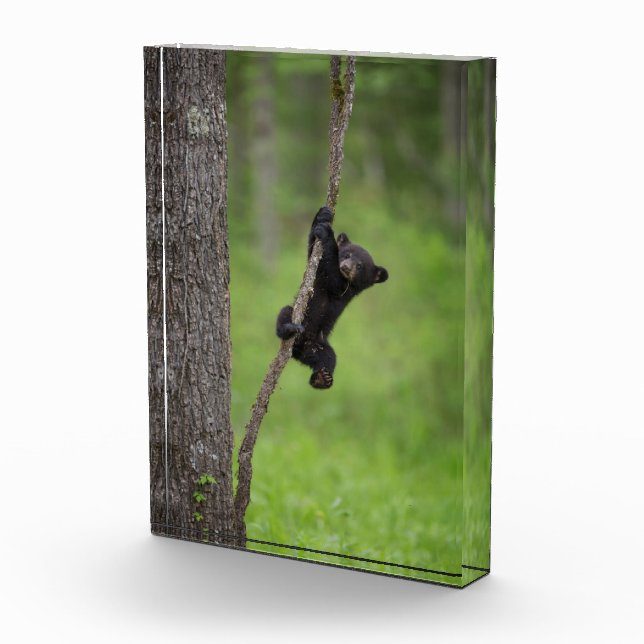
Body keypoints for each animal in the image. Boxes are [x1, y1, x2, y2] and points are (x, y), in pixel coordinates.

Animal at [276, 206, 388, 389]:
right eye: (347, 255)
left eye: (360, 266)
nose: (346, 267)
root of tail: (299, 351)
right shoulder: (316, 271)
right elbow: (312, 250)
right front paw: (322, 216)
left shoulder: (345, 289)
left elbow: (334, 280)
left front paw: (328, 233)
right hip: (298, 318)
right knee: (285, 313)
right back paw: (289, 328)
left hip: (321, 344)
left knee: (329, 358)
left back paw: (322, 378)